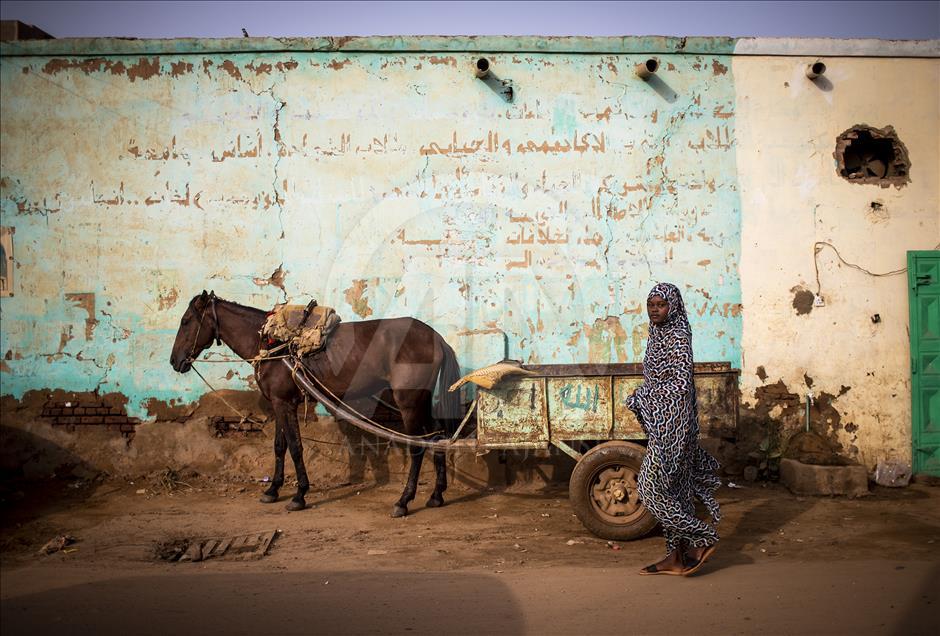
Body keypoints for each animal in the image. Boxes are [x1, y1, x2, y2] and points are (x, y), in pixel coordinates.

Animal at [171, 292, 464, 516]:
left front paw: (299, 495)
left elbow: (295, 446)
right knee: (436, 437)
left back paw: (403, 501)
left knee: (418, 447)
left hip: (409, 402)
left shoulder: (285, 403)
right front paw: (272, 490)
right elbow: (279, 446)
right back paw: (436, 495)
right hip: (420, 402)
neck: (272, 344)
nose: (175, 361)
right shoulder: (280, 403)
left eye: (186, 321)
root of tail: (436, 338)